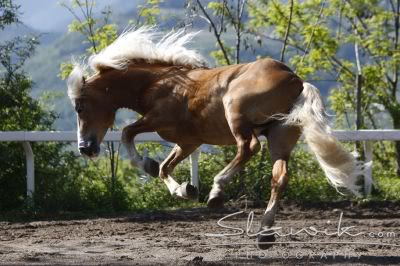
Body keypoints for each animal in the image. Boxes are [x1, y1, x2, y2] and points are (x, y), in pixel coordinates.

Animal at [65, 26, 366, 247]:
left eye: (79, 107)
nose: (85, 148)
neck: (159, 84)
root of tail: (296, 80)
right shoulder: (189, 141)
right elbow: (165, 168)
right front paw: (184, 190)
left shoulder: (158, 121)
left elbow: (129, 133)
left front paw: (148, 165)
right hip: (280, 136)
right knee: (279, 177)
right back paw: (265, 233)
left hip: (237, 115)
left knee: (249, 147)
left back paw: (217, 192)